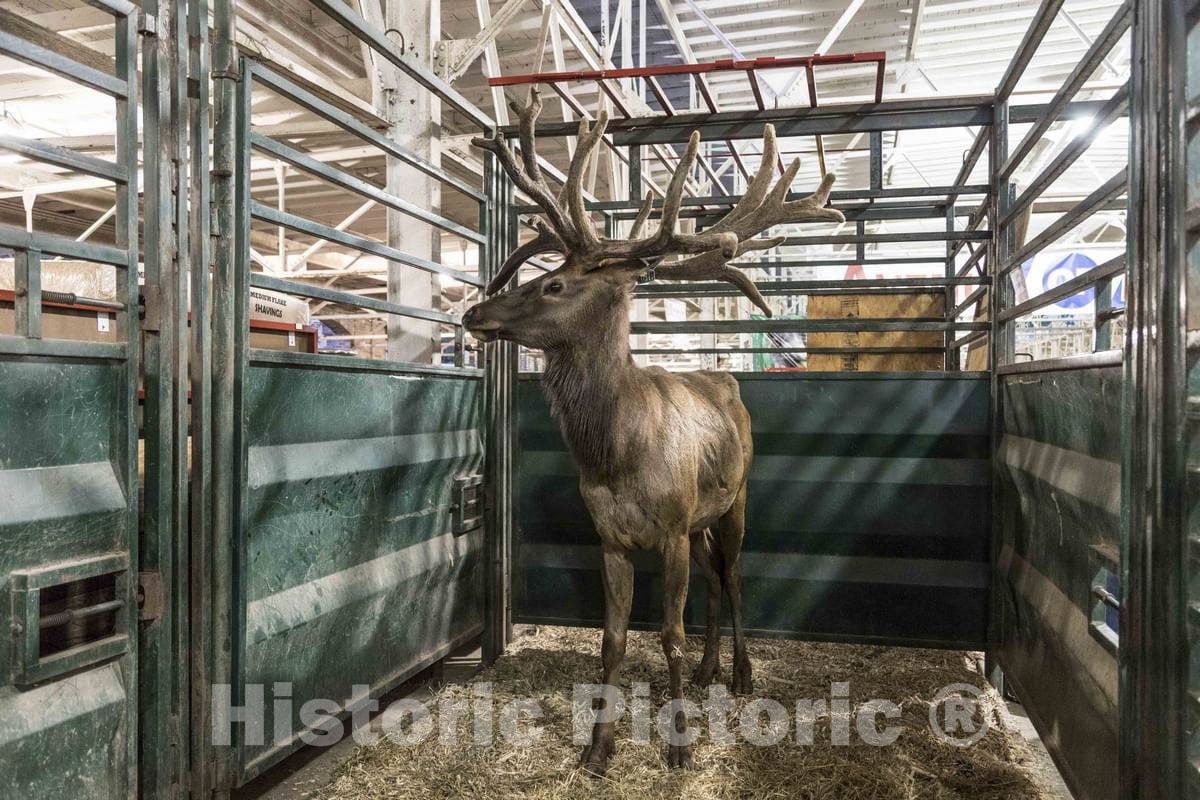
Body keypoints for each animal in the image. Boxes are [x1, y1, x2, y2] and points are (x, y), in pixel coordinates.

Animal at [462, 90, 843, 776]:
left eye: (554, 283)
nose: (476, 309)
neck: (616, 455)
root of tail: (728, 381)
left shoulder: (667, 530)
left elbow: (668, 635)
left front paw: (680, 746)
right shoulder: (612, 537)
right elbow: (613, 641)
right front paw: (597, 748)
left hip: (736, 499)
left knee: (733, 575)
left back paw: (740, 673)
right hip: (697, 520)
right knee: (713, 580)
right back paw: (710, 669)